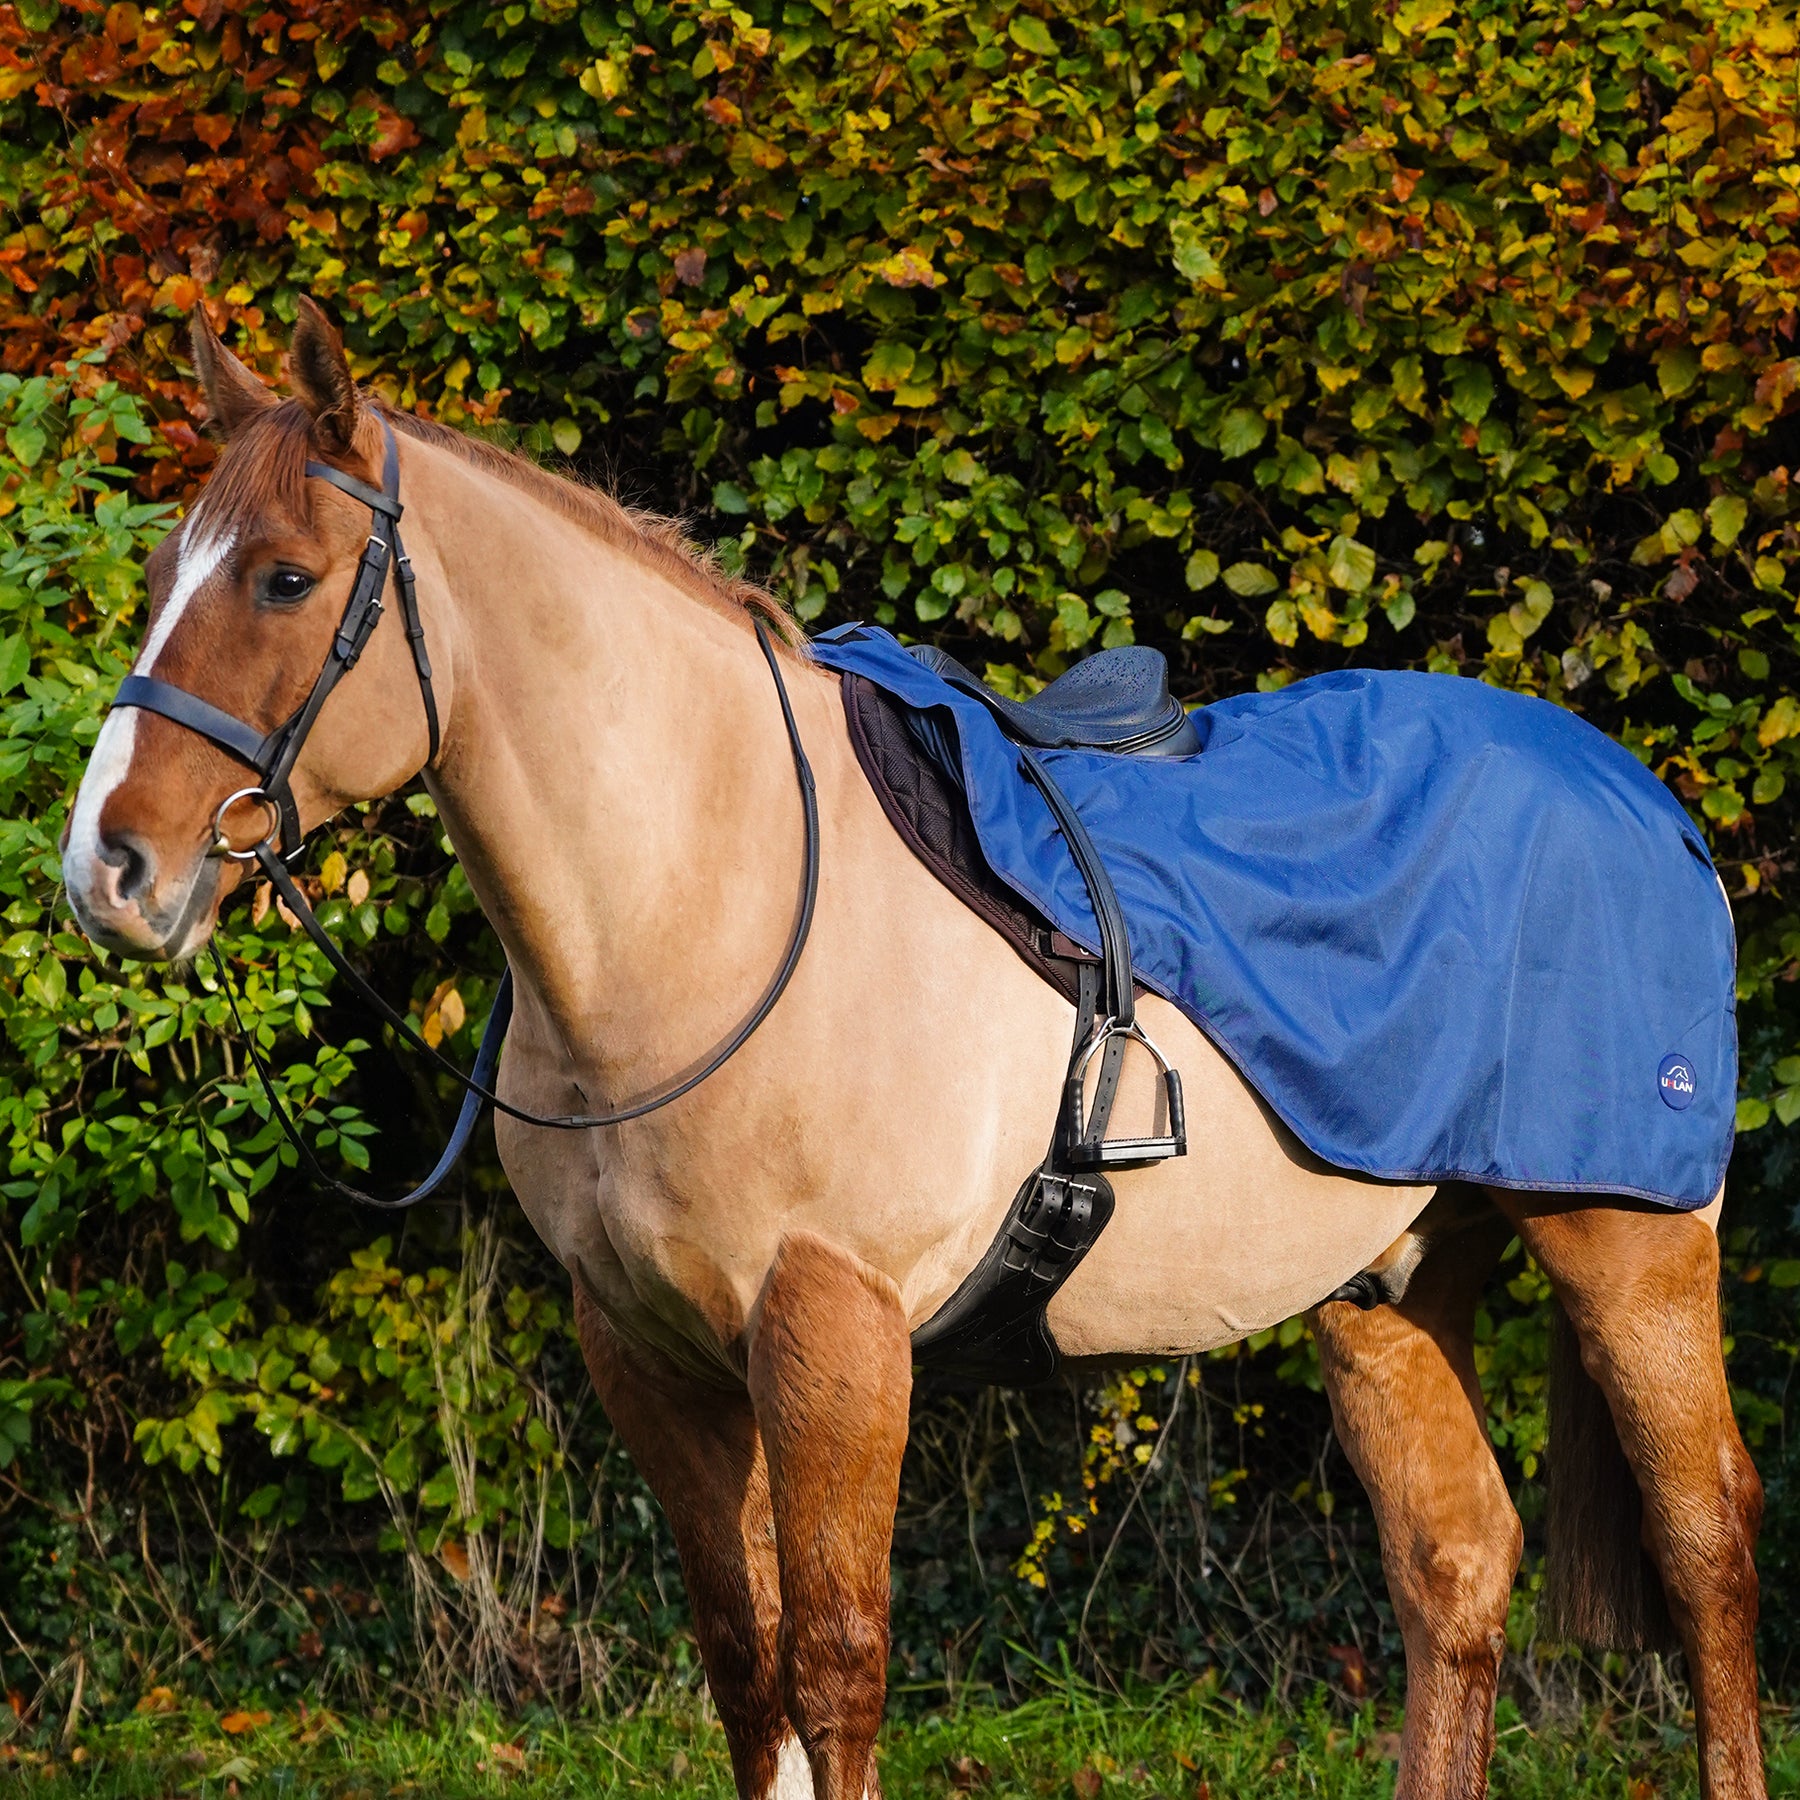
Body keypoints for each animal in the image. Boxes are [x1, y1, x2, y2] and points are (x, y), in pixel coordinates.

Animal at [62, 302, 1765, 1800]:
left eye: (287, 580)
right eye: (154, 574)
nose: (111, 869)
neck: (712, 897)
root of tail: (1640, 799)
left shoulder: (832, 1335)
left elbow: (835, 1665)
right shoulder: (653, 1359)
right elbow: (746, 1672)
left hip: (1629, 1247)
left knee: (1709, 1557)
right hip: (1387, 1285)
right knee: (1455, 1568)